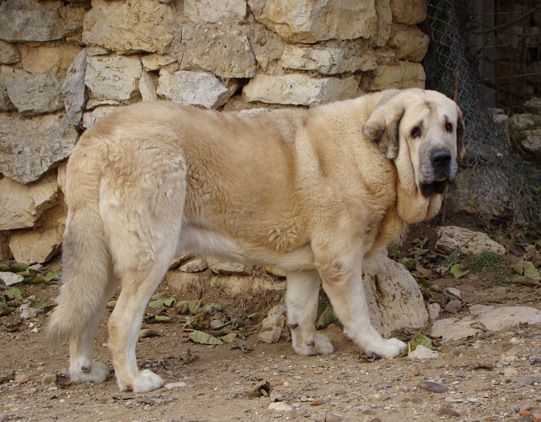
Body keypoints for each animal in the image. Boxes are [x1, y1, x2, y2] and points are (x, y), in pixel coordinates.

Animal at [48, 88, 463, 392]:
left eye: (449, 127)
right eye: (415, 131)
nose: (442, 158)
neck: (373, 154)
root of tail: (96, 138)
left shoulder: (307, 267)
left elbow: (301, 311)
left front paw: (308, 347)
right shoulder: (341, 260)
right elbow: (357, 313)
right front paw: (378, 346)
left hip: (102, 260)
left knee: (86, 313)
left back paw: (85, 370)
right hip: (150, 255)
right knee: (120, 322)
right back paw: (134, 380)